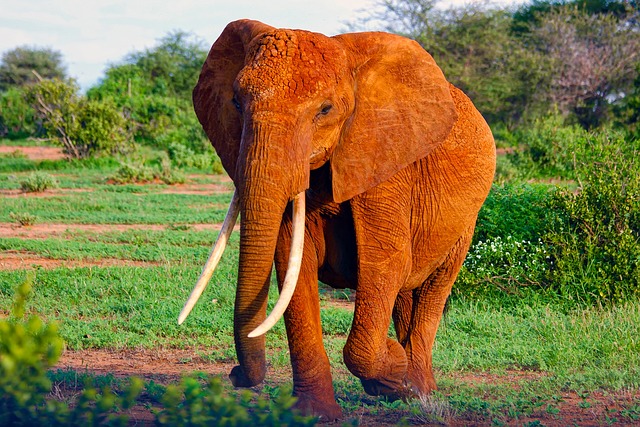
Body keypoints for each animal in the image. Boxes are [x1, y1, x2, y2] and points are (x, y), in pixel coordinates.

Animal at [178, 19, 498, 422]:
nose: (234, 375)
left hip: (467, 220)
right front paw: (315, 415)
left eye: (325, 110)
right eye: (236, 102)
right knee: (406, 293)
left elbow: (386, 262)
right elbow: (292, 266)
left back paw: (418, 391)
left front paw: (392, 369)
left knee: (433, 287)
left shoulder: (384, 158)